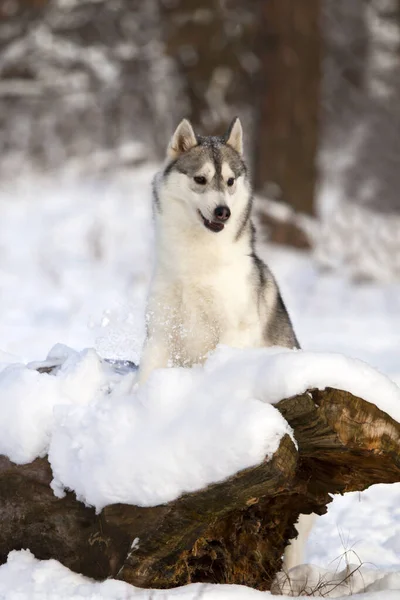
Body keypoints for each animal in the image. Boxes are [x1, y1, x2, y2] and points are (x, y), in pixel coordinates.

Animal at [139, 117, 298, 384]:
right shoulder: (161, 329)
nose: (223, 212)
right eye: (200, 179)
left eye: (230, 181)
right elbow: (146, 374)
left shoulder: (233, 330)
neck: (196, 263)